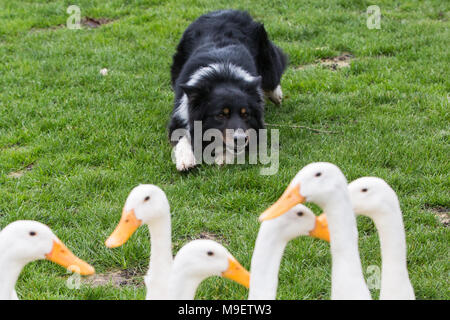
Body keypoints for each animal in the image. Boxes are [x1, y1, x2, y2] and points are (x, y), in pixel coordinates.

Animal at [167, 9, 286, 170]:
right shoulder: (180, 113)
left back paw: (275, 95)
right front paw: (185, 160)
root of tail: (226, 11)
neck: (222, 76)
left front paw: (223, 156)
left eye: (245, 114)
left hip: (267, 57)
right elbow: (181, 135)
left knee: (274, 72)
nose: (241, 139)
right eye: (221, 115)